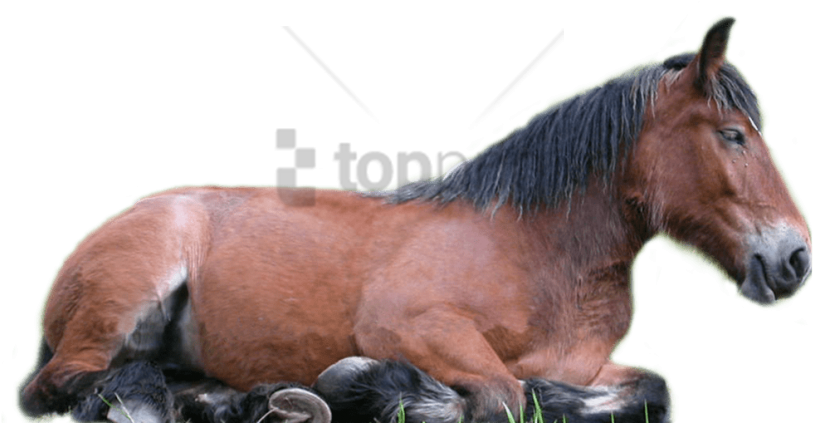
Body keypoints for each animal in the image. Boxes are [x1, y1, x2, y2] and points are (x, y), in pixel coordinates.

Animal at [18, 15, 811, 423]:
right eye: (732, 135)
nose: (795, 257)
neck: (533, 249)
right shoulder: (409, 326)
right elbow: (501, 395)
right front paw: (386, 389)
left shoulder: (589, 364)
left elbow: (651, 388)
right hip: (127, 297)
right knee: (65, 385)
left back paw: (249, 398)